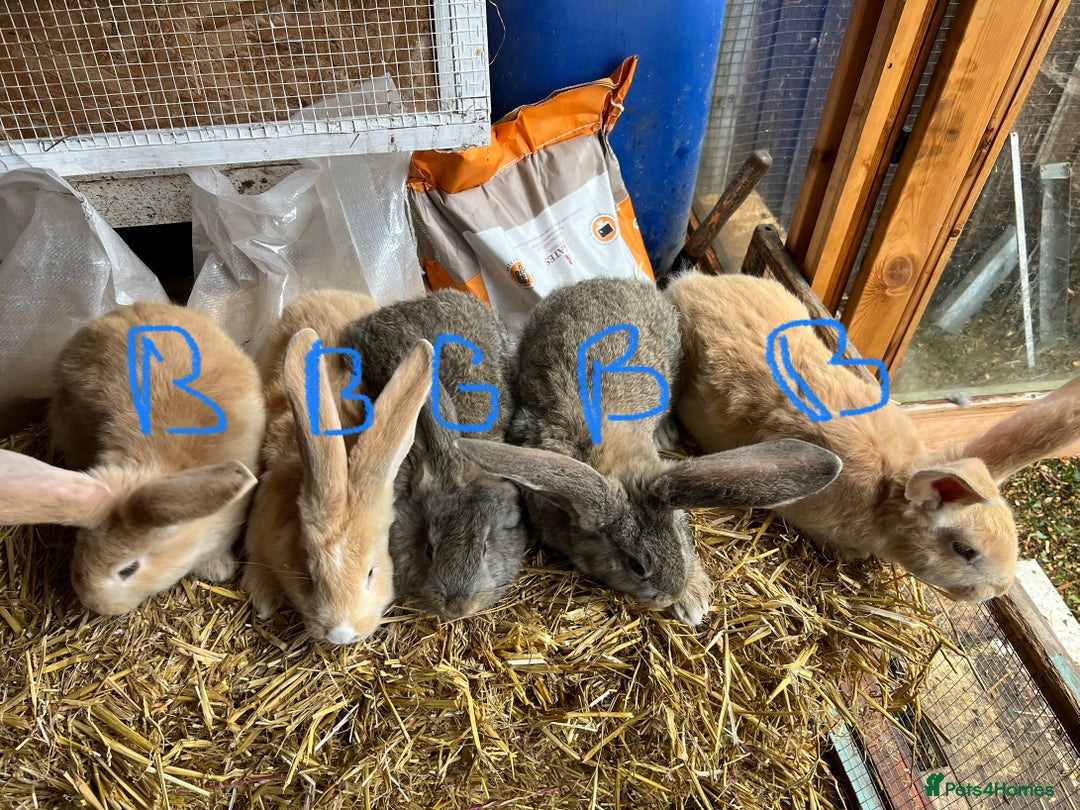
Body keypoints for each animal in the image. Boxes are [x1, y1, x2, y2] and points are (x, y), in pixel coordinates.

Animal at [454, 277, 845, 626]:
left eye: (684, 534)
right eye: (636, 565)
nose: (672, 594)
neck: (609, 459)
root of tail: (606, 281)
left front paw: (693, 600)